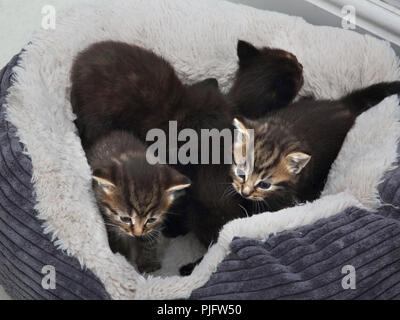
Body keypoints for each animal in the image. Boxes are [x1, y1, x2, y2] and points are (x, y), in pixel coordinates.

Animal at [86, 130, 190, 272]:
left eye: (151, 219)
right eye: (125, 218)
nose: (137, 234)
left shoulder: (155, 224)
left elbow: (151, 239)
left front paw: (148, 262)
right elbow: (117, 235)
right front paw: (123, 256)